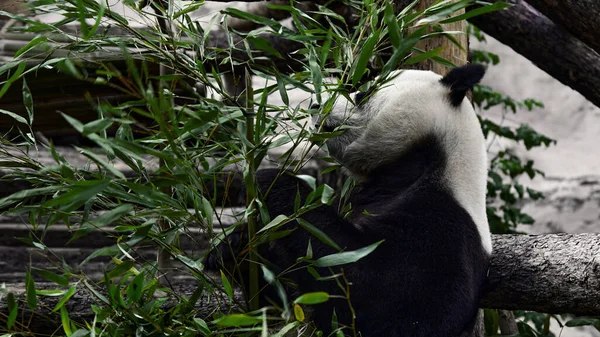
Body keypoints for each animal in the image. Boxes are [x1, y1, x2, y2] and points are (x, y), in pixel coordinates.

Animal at [206, 63, 492, 336]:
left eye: (363, 93)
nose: (316, 105)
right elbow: (281, 302)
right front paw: (233, 247)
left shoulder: (444, 228)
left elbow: (372, 290)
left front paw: (271, 180)